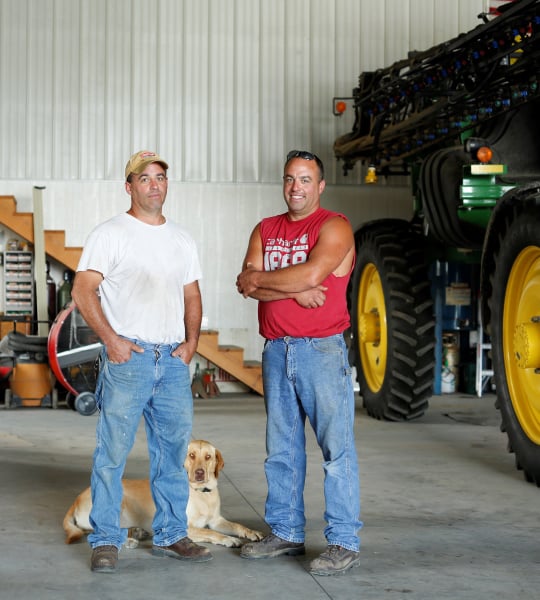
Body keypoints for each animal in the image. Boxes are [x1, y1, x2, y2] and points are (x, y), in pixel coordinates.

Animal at [62, 436, 264, 548]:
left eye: (208, 457)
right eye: (191, 456)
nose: (199, 473)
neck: (202, 493)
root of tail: (76, 499)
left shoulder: (216, 520)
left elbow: (237, 526)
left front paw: (251, 532)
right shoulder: (184, 527)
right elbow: (211, 533)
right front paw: (228, 539)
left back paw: (136, 532)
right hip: (116, 502)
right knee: (101, 532)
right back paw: (129, 540)